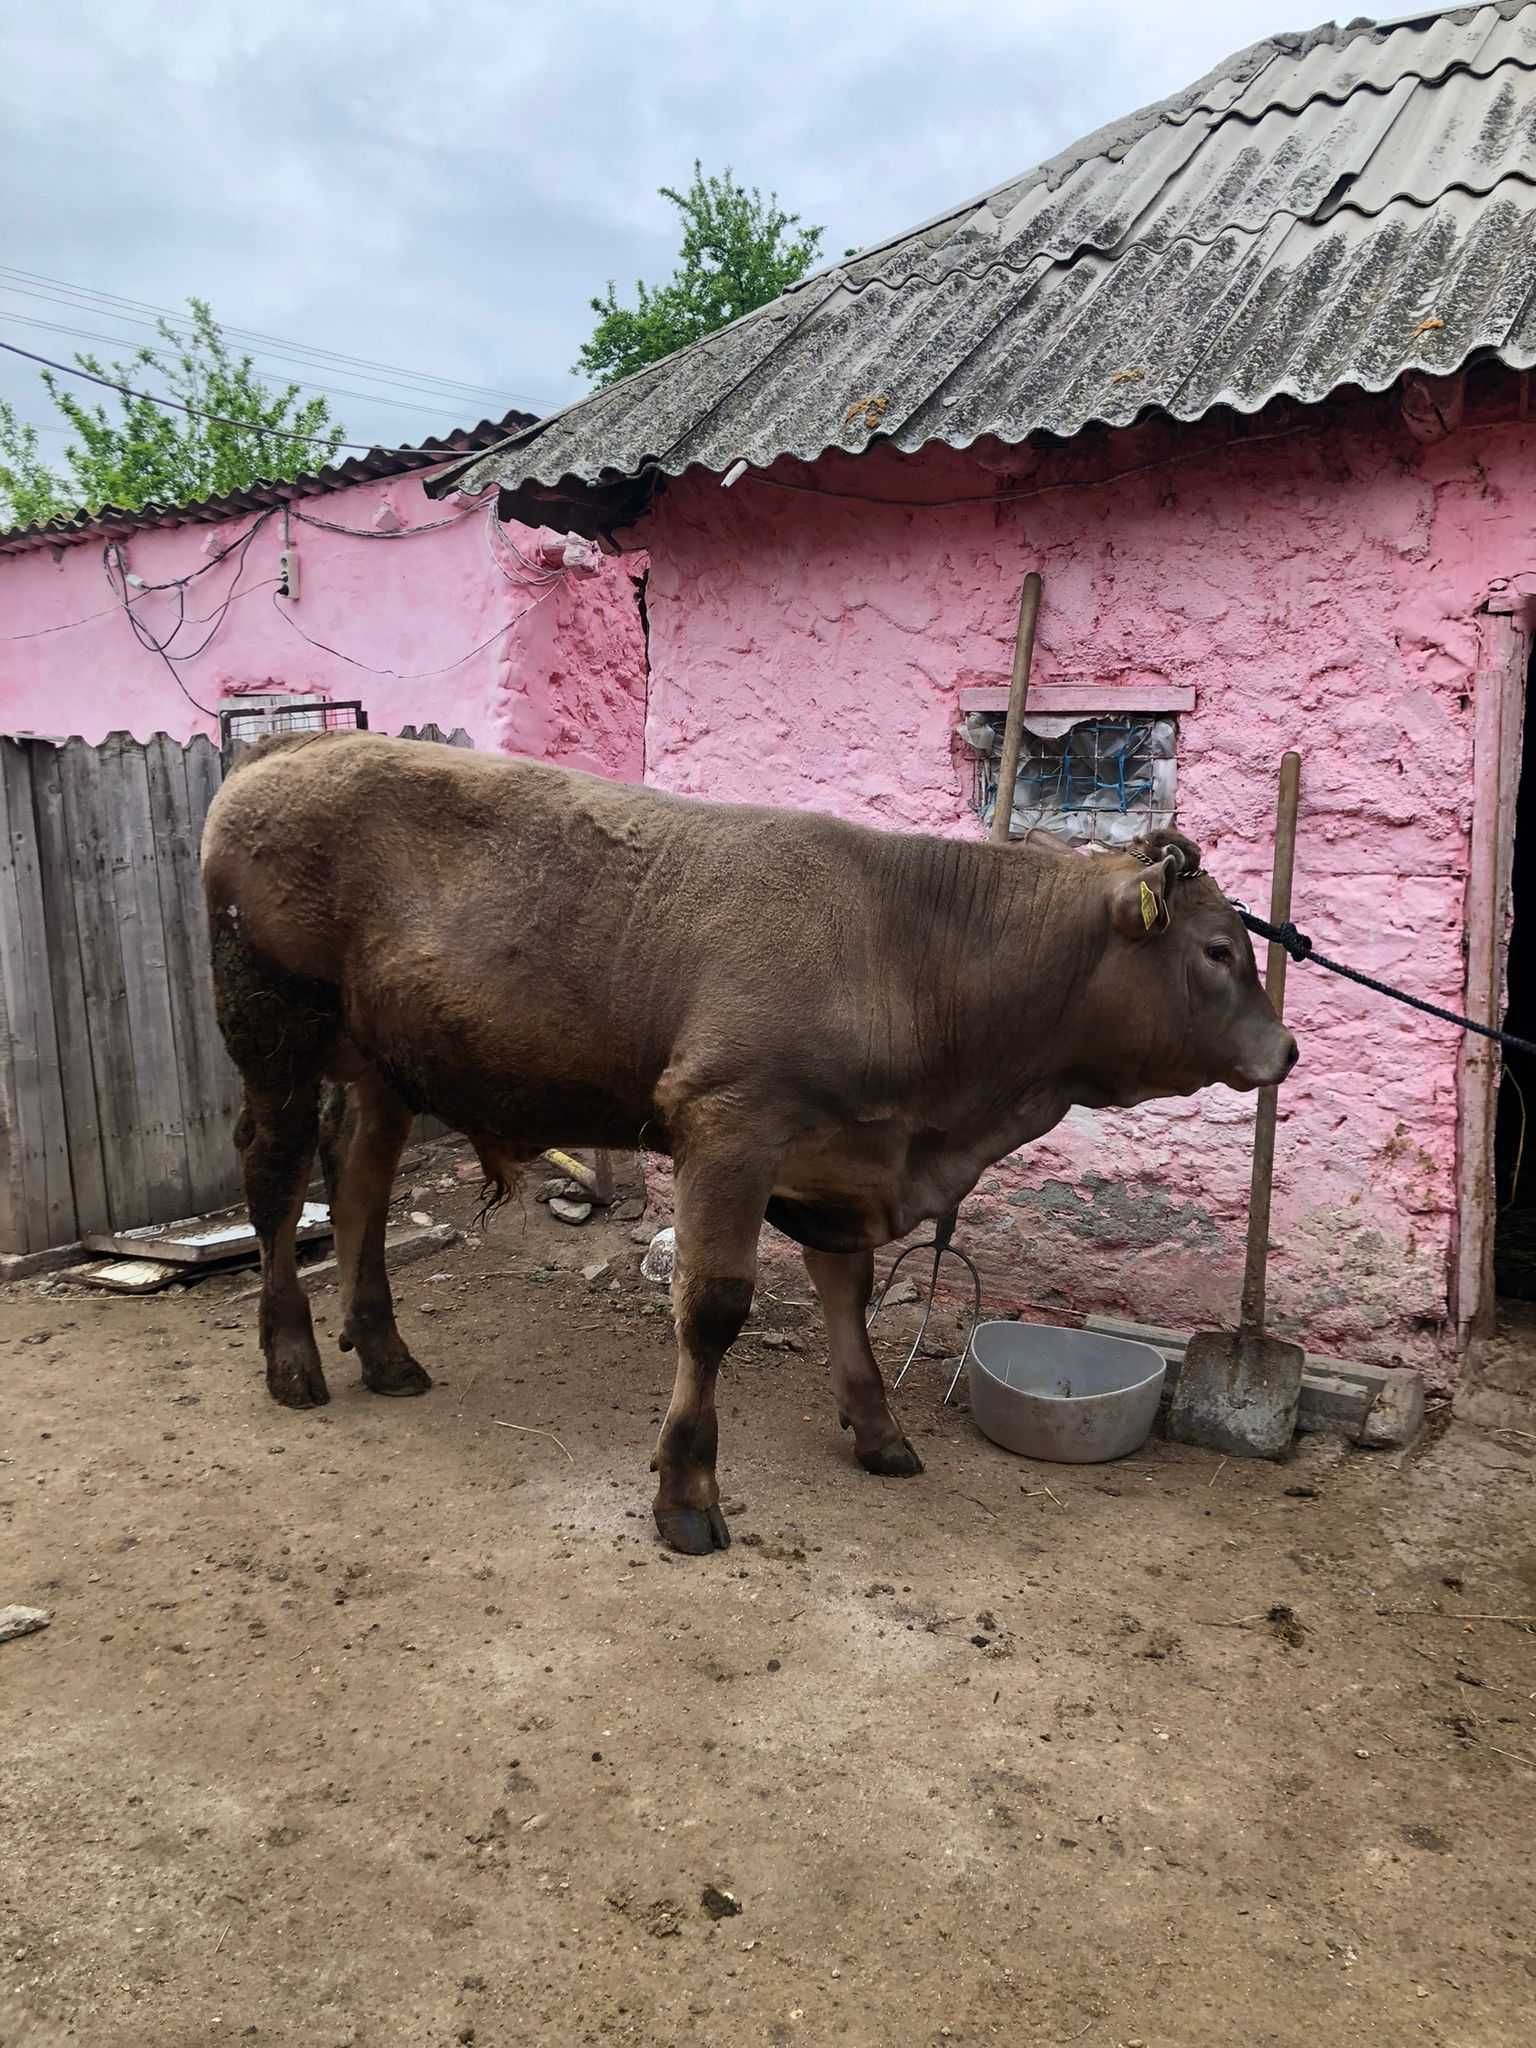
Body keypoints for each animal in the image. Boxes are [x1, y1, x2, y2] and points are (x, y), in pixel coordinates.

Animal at [198, 737, 1294, 1548]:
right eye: (1216, 950)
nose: (1284, 1047)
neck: (905, 945)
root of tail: (287, 748)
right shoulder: (728, 1125)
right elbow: (715, 1308)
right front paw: (686, 1489)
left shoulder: (840, 1155)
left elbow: (849, 1299)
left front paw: (879, 1430)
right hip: (272, 1032)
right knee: (275, 1175)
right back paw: (293, 1357)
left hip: (385, 1062)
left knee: (363, 1180)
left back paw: (384, 1349)